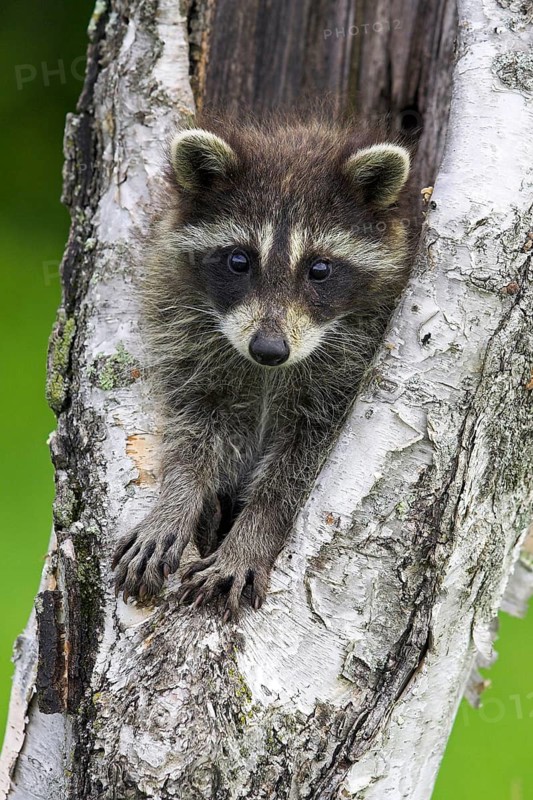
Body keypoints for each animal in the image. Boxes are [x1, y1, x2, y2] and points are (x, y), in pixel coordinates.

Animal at [112, 114, 412, 621]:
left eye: (320, 269)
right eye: (239, 260)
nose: (269, 350)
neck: (270, 373)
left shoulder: (340, 376)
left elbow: (294, 470)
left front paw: (250, 538)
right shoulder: (184, 334)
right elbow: (193, 428)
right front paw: (177, 501)